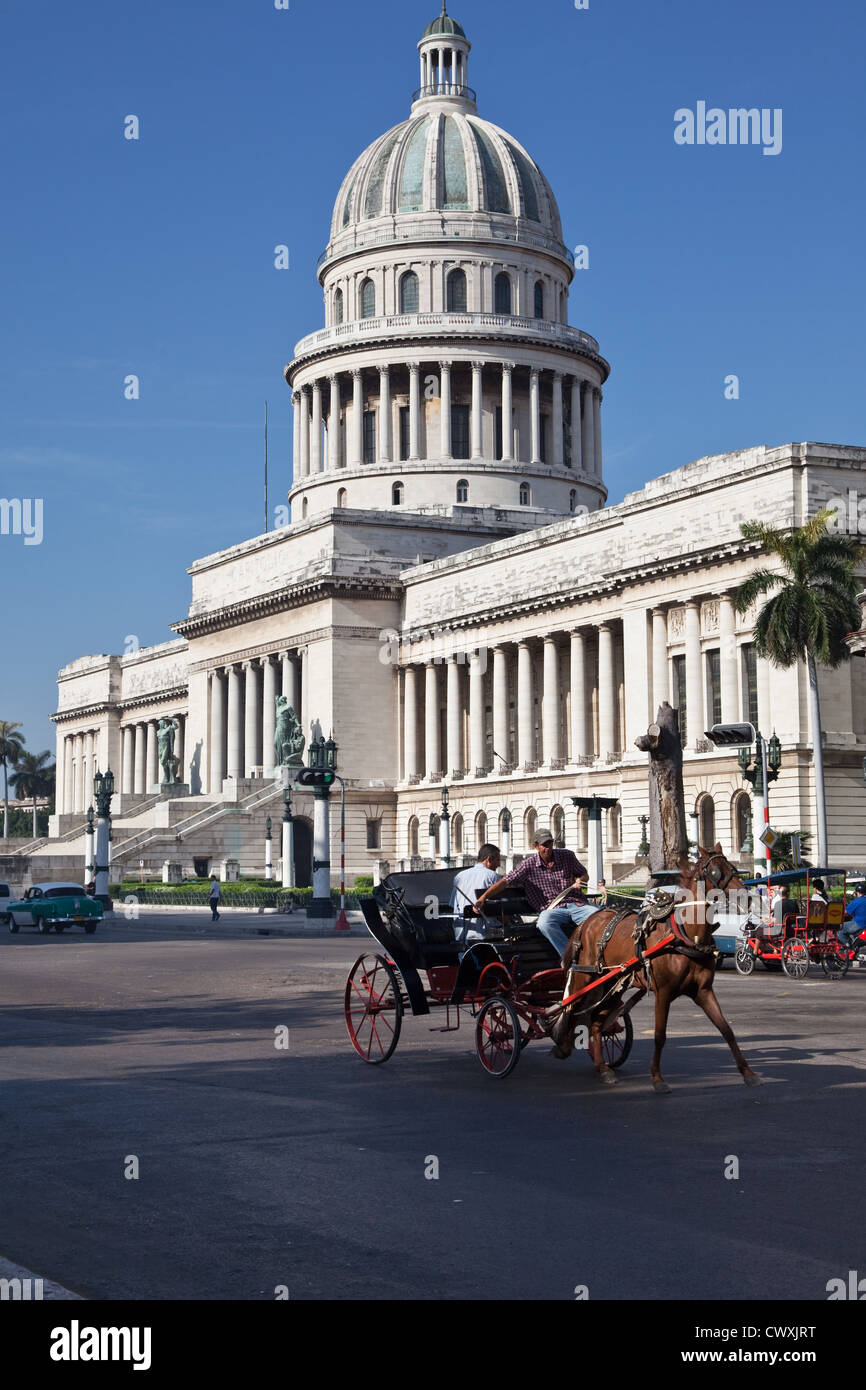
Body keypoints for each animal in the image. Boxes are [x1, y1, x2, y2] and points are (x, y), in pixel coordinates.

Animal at [553, 839, 761, 1089]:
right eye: (714, 871)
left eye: (732, 868)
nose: (747, 897)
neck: (684, 934)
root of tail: (588, 920)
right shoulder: (663, 992)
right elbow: (660, 1035)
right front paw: (657, 1077)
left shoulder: (703, 991)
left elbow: (726, 1029)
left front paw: (748, 1072)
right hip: (586, 977)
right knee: (571, 1006)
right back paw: (563, 1044)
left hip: (613, 985)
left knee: (596, 1022)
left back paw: (603, 1068)